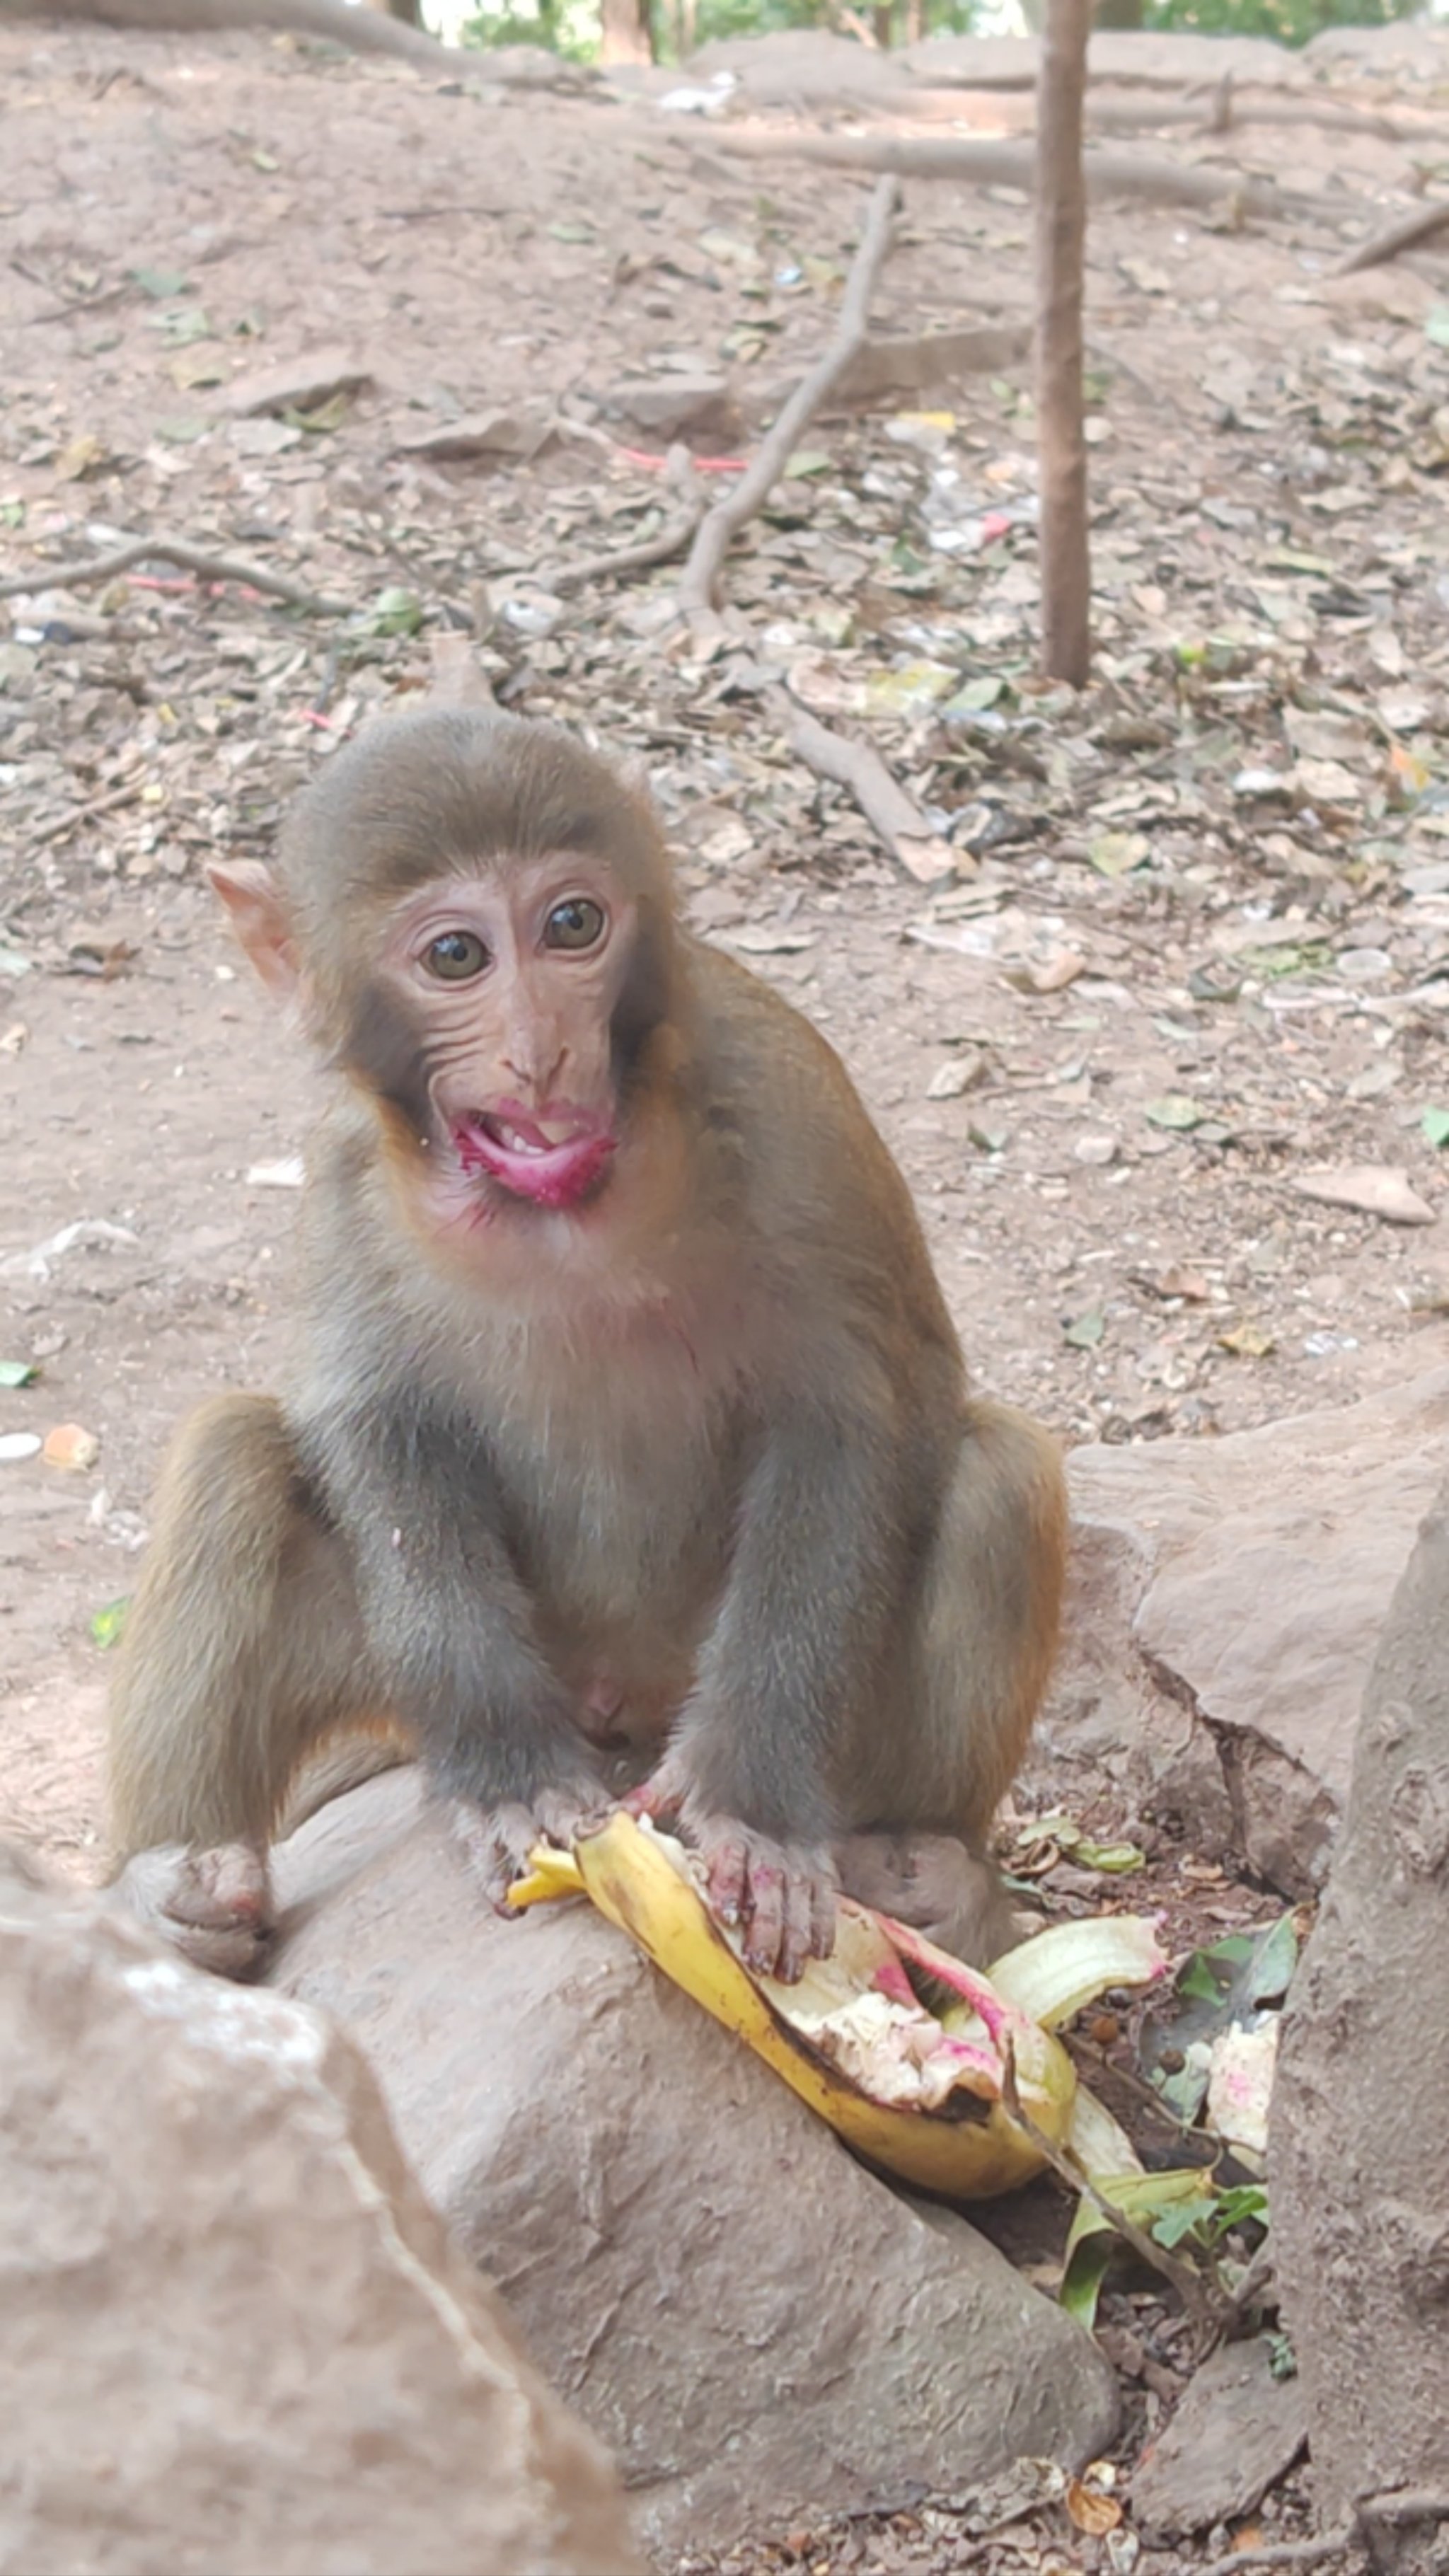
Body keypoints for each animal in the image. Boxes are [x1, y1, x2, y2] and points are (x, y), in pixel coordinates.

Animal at [110, 716, 1062, 1978]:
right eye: (455, 955)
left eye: (572, 926)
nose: (540, 1050)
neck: (560, 1212)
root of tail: (624, 1710)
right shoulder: (345, 1170)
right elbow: (372, 1422)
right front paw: (512, 1777)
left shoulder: (790, 1103)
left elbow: (852, 1416)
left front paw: (753, 1809)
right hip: (405, 1687)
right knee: (234, 1452)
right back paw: (172, 1900)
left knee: (1001, 1472)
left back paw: (940, 1877)